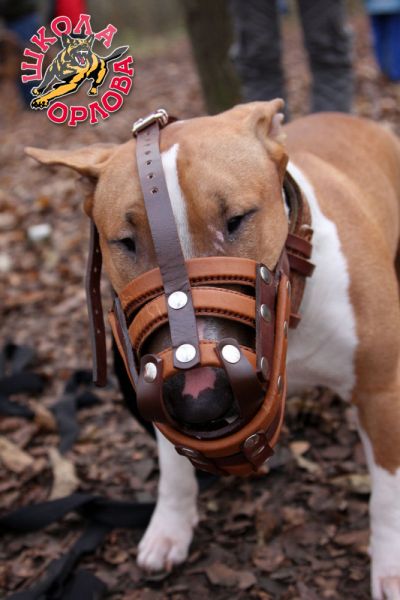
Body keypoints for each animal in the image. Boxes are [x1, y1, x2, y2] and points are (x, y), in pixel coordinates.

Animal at [26, 100, 400, 599]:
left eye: (238, 219)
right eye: (124, 242)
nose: (198, 395)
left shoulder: (381, 392)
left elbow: (387, 493)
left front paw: (391, 566)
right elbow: (173, 469)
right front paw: (168, 529)